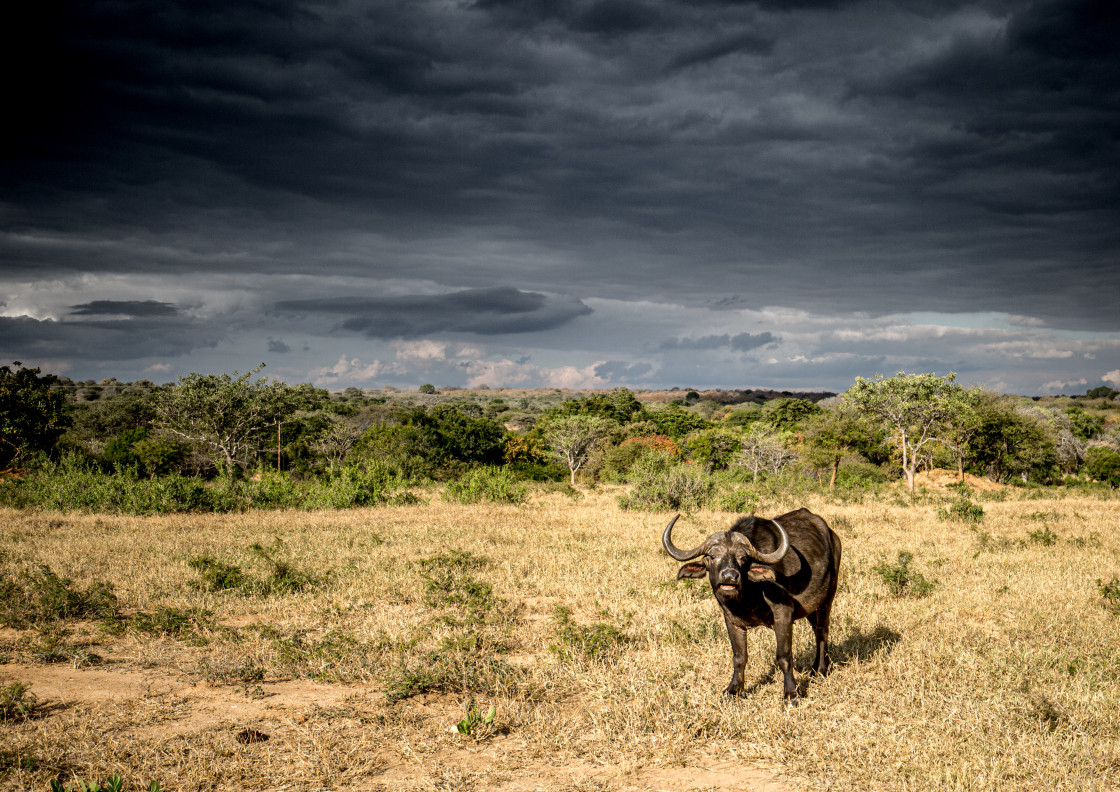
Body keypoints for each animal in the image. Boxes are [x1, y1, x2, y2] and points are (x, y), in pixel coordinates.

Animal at [663, 508, 842, 699]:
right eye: (712, 556)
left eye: (742, 558)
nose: (730, 577)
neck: (748, 596)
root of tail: (832, 535)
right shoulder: (731, 620)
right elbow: (739, 656)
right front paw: (733, 689)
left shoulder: (783, 615)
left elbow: (784, 656)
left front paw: (791, 693)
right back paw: (819, 667)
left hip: (828, 597)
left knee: (821, 630)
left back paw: (821, 670)